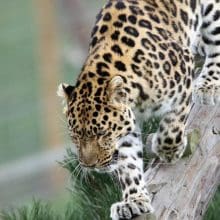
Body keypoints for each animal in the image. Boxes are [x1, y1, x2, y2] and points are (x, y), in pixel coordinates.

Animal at [57, 0, 220, 219]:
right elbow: (129, 165)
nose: (89, 165)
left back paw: (208, 85)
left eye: (102, 134)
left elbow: (173, 123)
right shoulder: (127, 128)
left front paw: (168, 150)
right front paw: (133, 201)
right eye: (75, 137)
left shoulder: (183, 68)